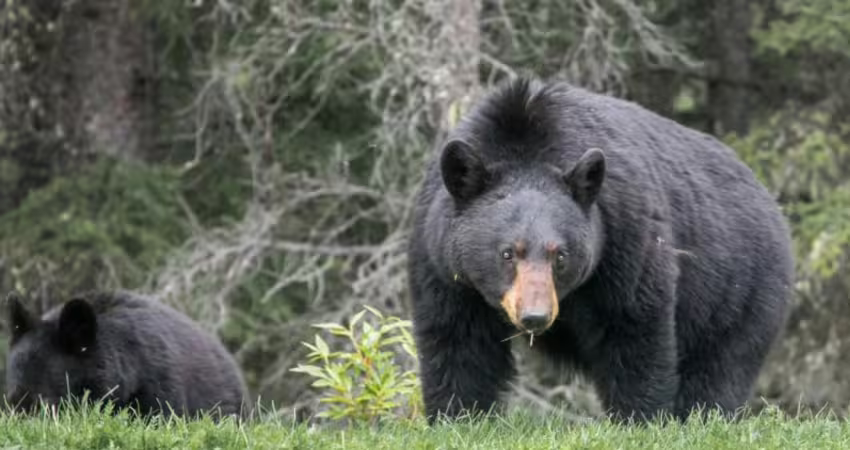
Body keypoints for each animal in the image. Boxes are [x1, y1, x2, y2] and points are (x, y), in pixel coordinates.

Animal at [407, 77, 794, 424]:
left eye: (560, 255)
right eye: (507, 253)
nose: (535, 317)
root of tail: (770, 202)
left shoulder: (623, 234)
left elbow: (634, 328)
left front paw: (639, 419)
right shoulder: (441, 260)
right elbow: (458, 339)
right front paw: (458, 416)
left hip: (741, 291)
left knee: (721, 368)